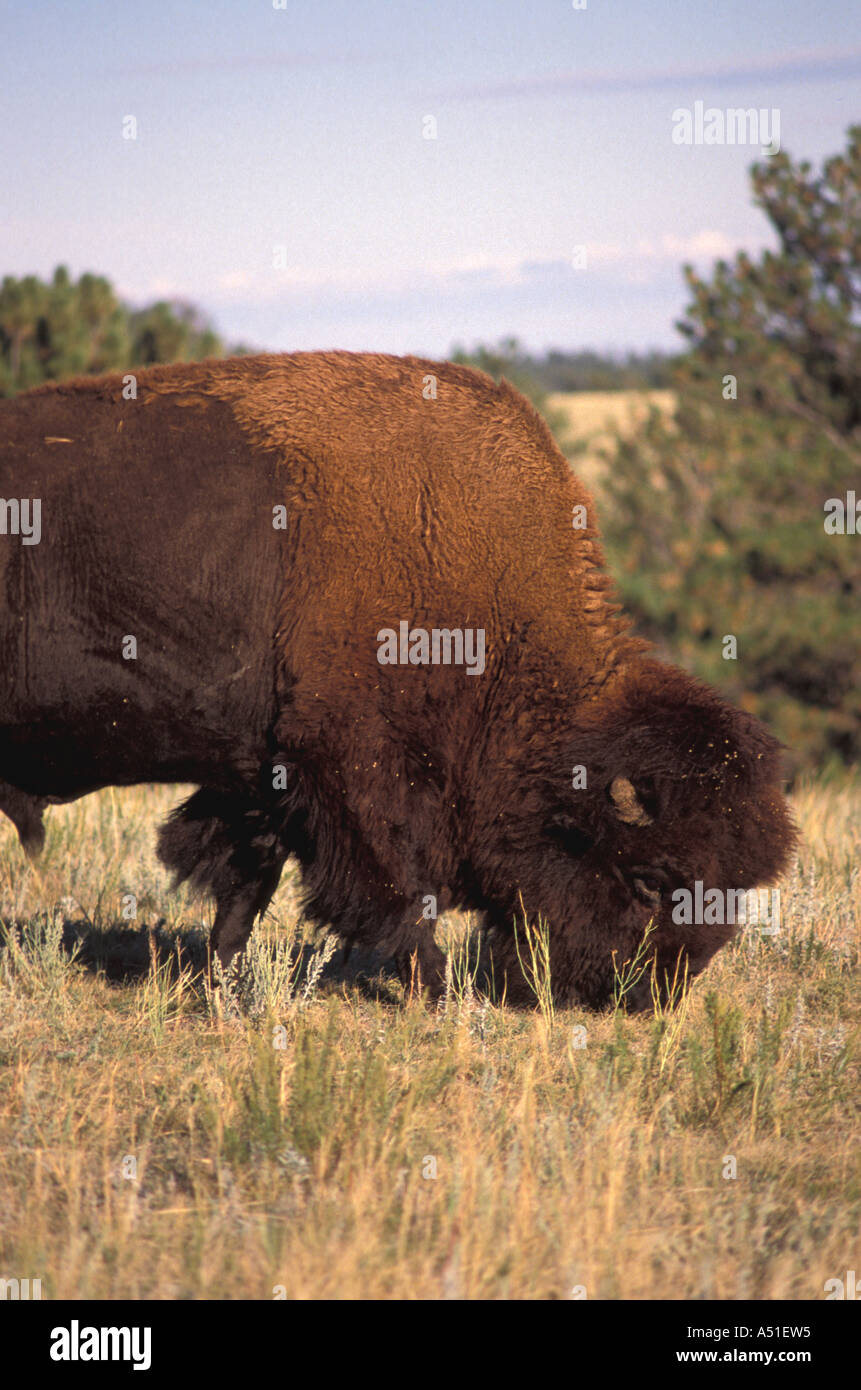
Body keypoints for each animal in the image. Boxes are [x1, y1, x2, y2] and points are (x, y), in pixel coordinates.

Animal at [0, 352, 796, 1007]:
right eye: (649, 879)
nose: (649, 994)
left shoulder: (265, 774)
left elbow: (245, 883)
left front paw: (223, 985)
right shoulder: (351, 770)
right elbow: (398, 891)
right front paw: (439, 994)